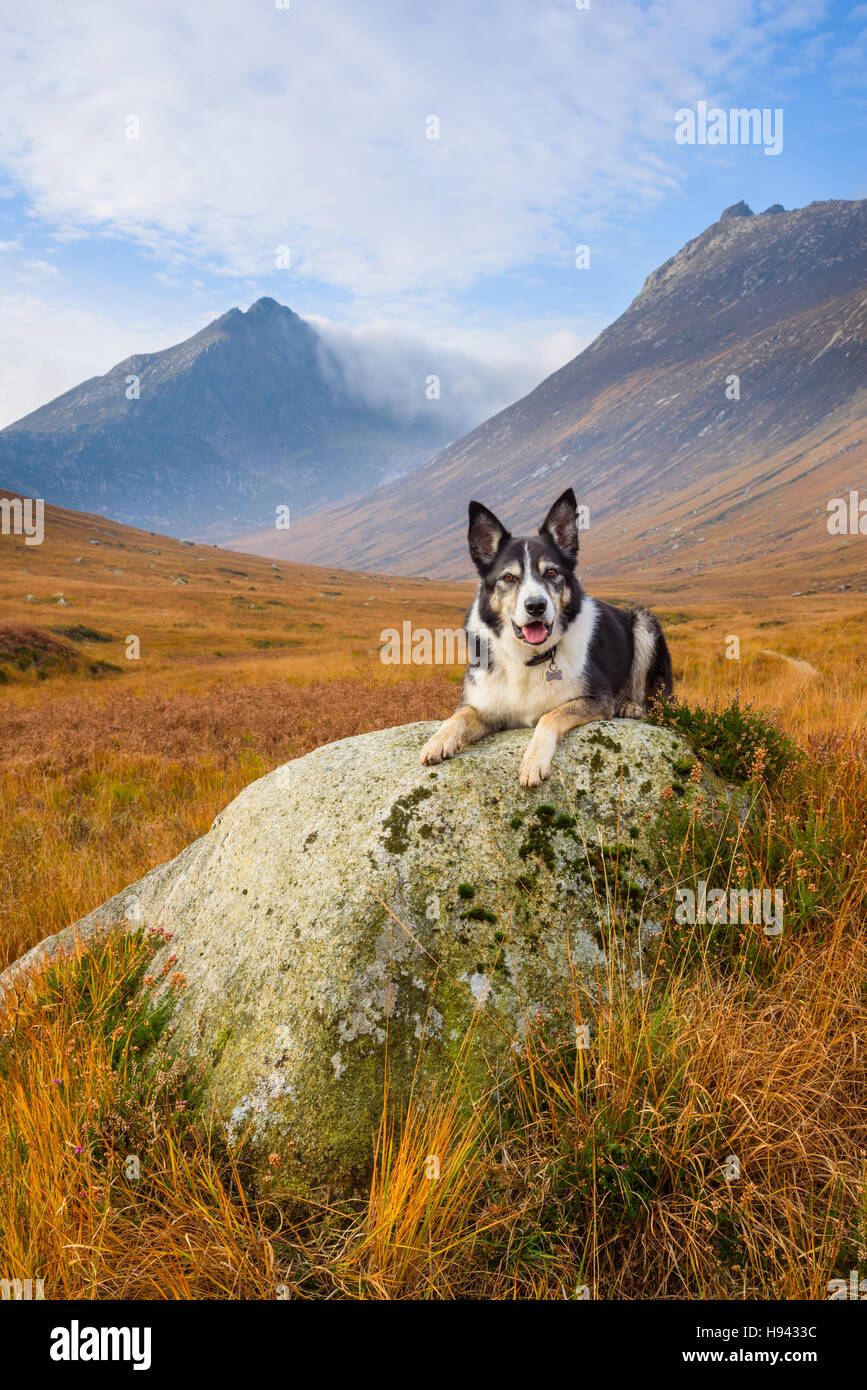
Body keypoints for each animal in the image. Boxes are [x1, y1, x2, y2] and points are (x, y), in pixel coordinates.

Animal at [422, 489, 675, 789]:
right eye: (509, 577)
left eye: (551, 572)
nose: (536, 606)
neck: (529, 658)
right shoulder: (483, 706)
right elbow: (457, 717)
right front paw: (437, 741)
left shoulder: (597, 699)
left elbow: (549, 716)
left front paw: (533, 762)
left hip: (644, 623)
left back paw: (631, 706)